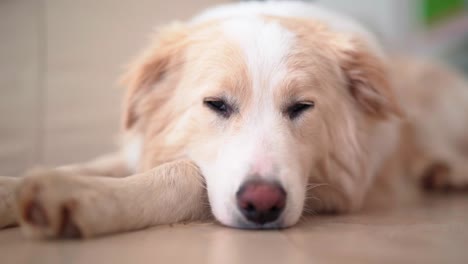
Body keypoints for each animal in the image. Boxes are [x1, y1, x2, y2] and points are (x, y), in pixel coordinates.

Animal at [0, 0, 468, 239]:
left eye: (301, 107)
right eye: (216, 104)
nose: (263, 204)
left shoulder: (334, 190)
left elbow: (184, 176)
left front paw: (76, 197)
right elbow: (93, 165)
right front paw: (17, 188)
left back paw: (447, 171)